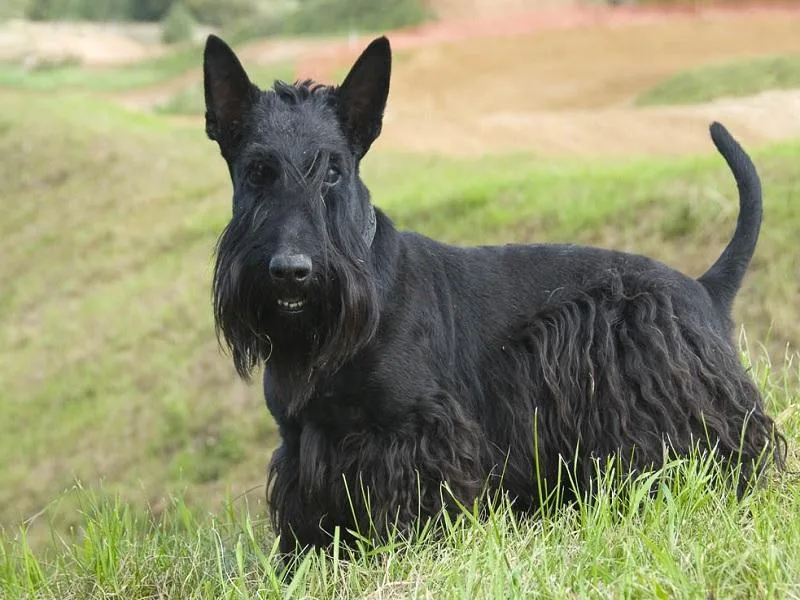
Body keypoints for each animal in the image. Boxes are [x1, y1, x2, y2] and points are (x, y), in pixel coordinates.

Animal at [203, 36, 784, 552]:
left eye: (332, 171)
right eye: (257, 171)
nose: (292, 272)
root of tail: (702, 288)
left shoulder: (418, 429)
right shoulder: (300, 443)